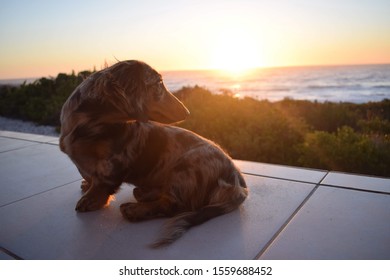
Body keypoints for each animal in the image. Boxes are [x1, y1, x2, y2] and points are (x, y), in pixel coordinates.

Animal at [59, 60, 248, 246]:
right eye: (158, 84)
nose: (187, 112)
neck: (88, 126)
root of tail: (238, 181)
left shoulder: (113, 162)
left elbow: (101, 184)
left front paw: (90, 200)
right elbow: (89, 176)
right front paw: (87, 185)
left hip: (187, 165)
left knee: (173, 206)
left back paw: (135, 209)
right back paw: (144, 193)